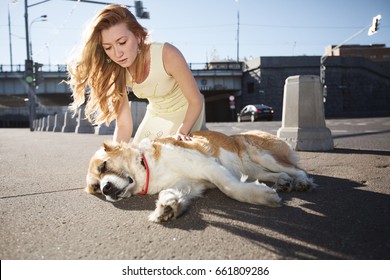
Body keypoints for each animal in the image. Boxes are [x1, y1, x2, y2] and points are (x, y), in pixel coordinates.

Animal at [85, 130, 314, 222]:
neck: (149, 166)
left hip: (263, 155)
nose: (106, 189)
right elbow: (169, 193)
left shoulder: (208, 165)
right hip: (254, 168)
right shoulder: (189, 185)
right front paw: (167, 207)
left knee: (297, 169)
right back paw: (283, 182)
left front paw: (262, 197)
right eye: (96, 187)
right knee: (273, 174)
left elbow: (230, 188)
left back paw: (301, 182)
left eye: (103, 166)